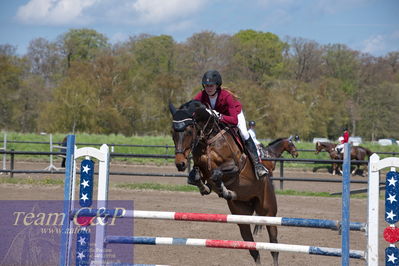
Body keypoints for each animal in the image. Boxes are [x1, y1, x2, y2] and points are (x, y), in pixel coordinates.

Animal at [170, 100, 280, 266]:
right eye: (172, 133)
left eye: (189, 131)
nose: (180, 164)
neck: (208, 139)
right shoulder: (200, 167)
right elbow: (194, 177)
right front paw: (206, 188)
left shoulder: (235, 165)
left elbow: (216, 174)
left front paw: (225, 191)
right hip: (242, 217)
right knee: (253, 249)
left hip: (269, 214)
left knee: (274, 246)